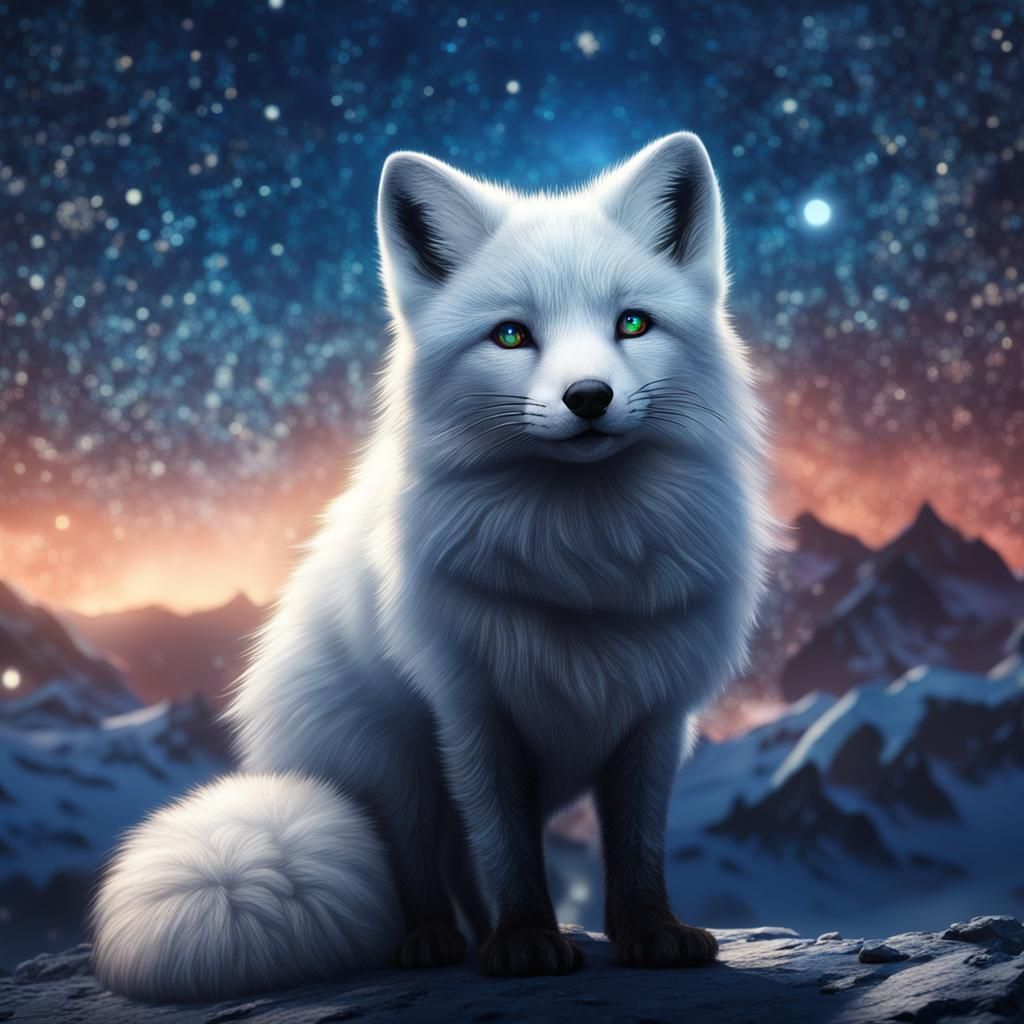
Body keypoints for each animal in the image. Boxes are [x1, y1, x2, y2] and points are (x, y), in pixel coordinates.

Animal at [91, 131, 771, 1002]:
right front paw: (524, 942)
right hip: (397, 761)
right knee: (424, 861)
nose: (588, 396)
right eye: (511, 336)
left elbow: (637, 844)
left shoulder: (656, 714)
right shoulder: (470, 709)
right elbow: (506, 853)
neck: (582, 557)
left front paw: (648, 932)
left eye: (632, 324)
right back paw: (435, 941)